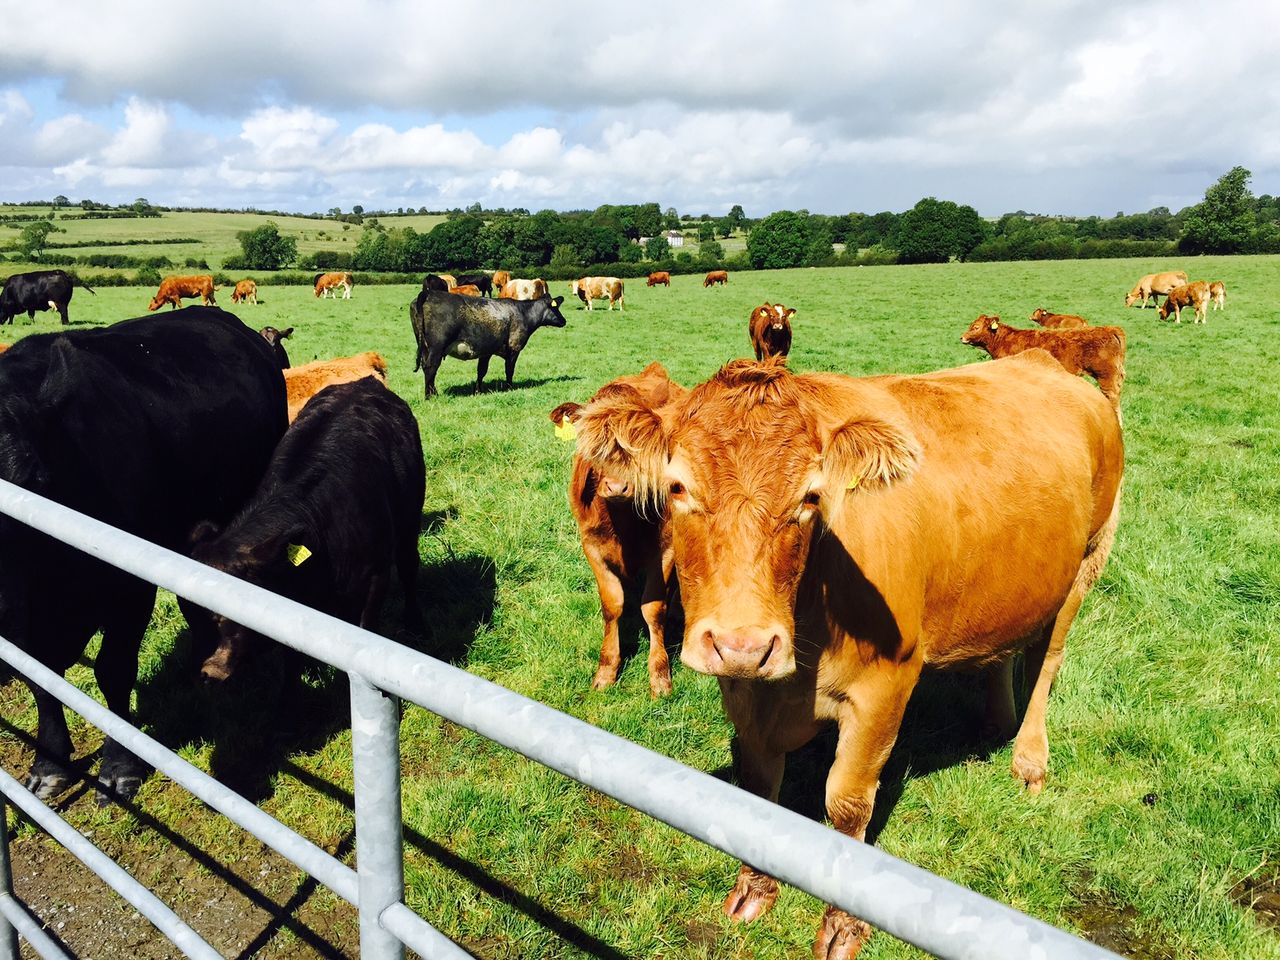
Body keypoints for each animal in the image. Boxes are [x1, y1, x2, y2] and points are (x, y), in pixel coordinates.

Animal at [0, 307, 287, 801]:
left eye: (32, 479)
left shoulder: (128, 589)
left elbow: (113, 669)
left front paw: (119, 766)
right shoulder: (23, 619)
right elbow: (40, 677)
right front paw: (50, 762)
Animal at [188, 377, 426, 682]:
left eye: (220, 617)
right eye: (190, 617)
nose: (208, 673)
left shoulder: (376, 575)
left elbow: (365, 631)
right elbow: (292, 661)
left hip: (410, 520)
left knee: (408, 566)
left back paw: (415, 624)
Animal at [409, 290, 566, 398]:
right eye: (556, 308)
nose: (564, 321)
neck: (523, 312)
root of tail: (429, 292)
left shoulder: (486, 351)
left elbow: (481, 371)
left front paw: (478, 391)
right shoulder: (514, 347)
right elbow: (509, 370)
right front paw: (509, 388)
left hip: (424, 346)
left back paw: (433, 392)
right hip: (436, 347)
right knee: (430, 367)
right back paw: (430, 396)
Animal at [550, 362, 687, 697]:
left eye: (642, 448)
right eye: (593, 446)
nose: (616, 486)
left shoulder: (665, 549)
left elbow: (654, 607)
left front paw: (660, 676)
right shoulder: (591, 545)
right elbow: (612, 605)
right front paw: (606, 671)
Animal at [572, 353, 1123, 958]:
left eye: (810, 498)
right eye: (677, 486)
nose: (745, 645)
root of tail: (1042, 359)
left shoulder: (886, 686)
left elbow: (848, 804)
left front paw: (842, 925)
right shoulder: (744, 689)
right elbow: (758, 783)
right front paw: (753, 892)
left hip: (1087, 562)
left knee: (1046, 661)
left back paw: (1027, 760)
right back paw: (994, 726)